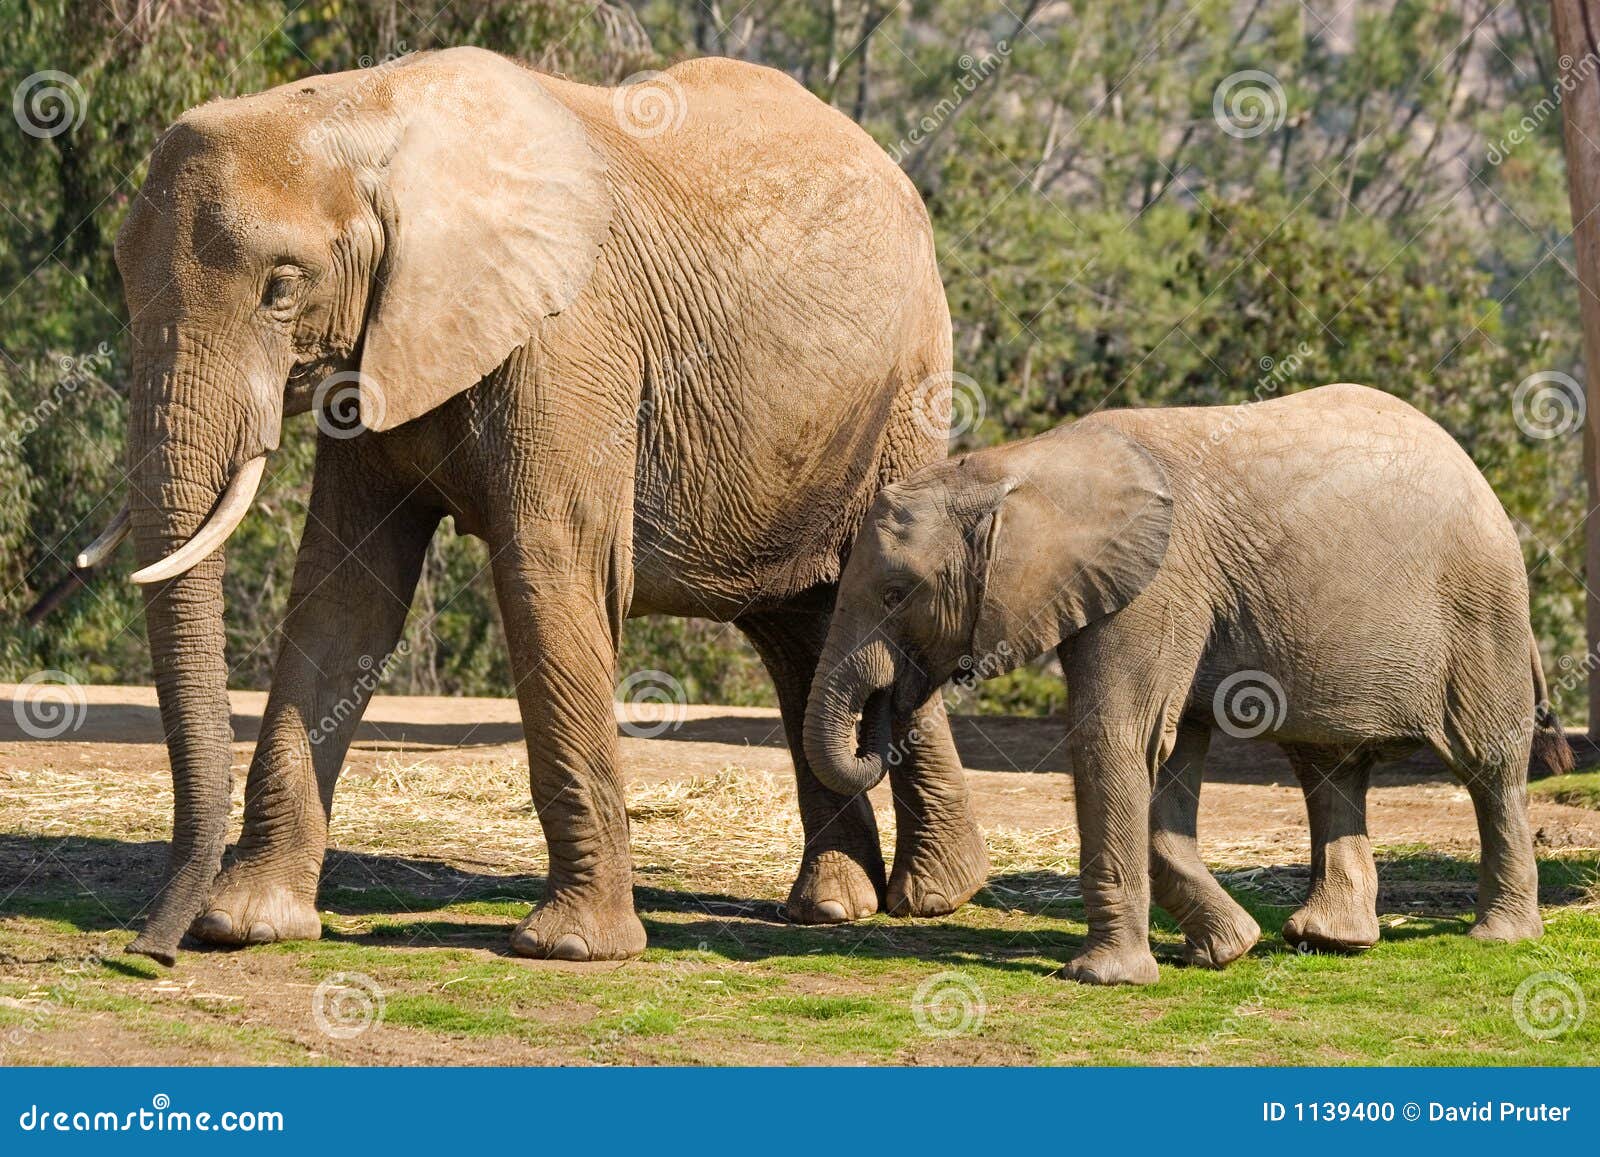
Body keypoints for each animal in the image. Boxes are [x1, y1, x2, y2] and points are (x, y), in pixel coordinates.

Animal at [87, 46, 991, 965]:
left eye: (280, 287)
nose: (149, 953)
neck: (362, 110)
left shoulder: (571, 339)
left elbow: (549, 570)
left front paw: (572, 948)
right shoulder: (384, 339)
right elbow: (345, 593)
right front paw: (248, 926)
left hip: (909, 387)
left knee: (877, 595)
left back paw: (934, 896)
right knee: (796, 629)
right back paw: (839, 903)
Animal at [804, 382, 1571, 985]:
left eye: (897, 595)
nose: (884, 713)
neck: (1015, 467)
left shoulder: (1158, 584)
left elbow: (1118, 738)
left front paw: (1103, 978)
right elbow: (1164, 757)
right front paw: (1230, 950)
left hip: (1481, 606)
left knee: (1488, 766)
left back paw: (1498, 934)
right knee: (1328, 767)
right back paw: (1326, 941)